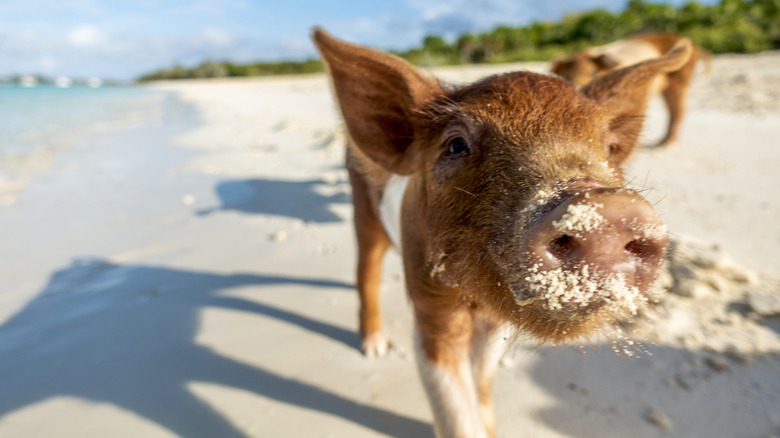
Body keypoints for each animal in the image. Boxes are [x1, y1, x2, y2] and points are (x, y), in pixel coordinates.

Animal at [310, 28, 688, 438]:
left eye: (610, 148)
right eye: (456, 144)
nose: (606, 208)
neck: (474, 300)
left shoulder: (496, 321)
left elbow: (482, 379)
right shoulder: (430, 300)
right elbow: (454, 409)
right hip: (362, 205)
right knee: (366, 269)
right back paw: (375, 348)